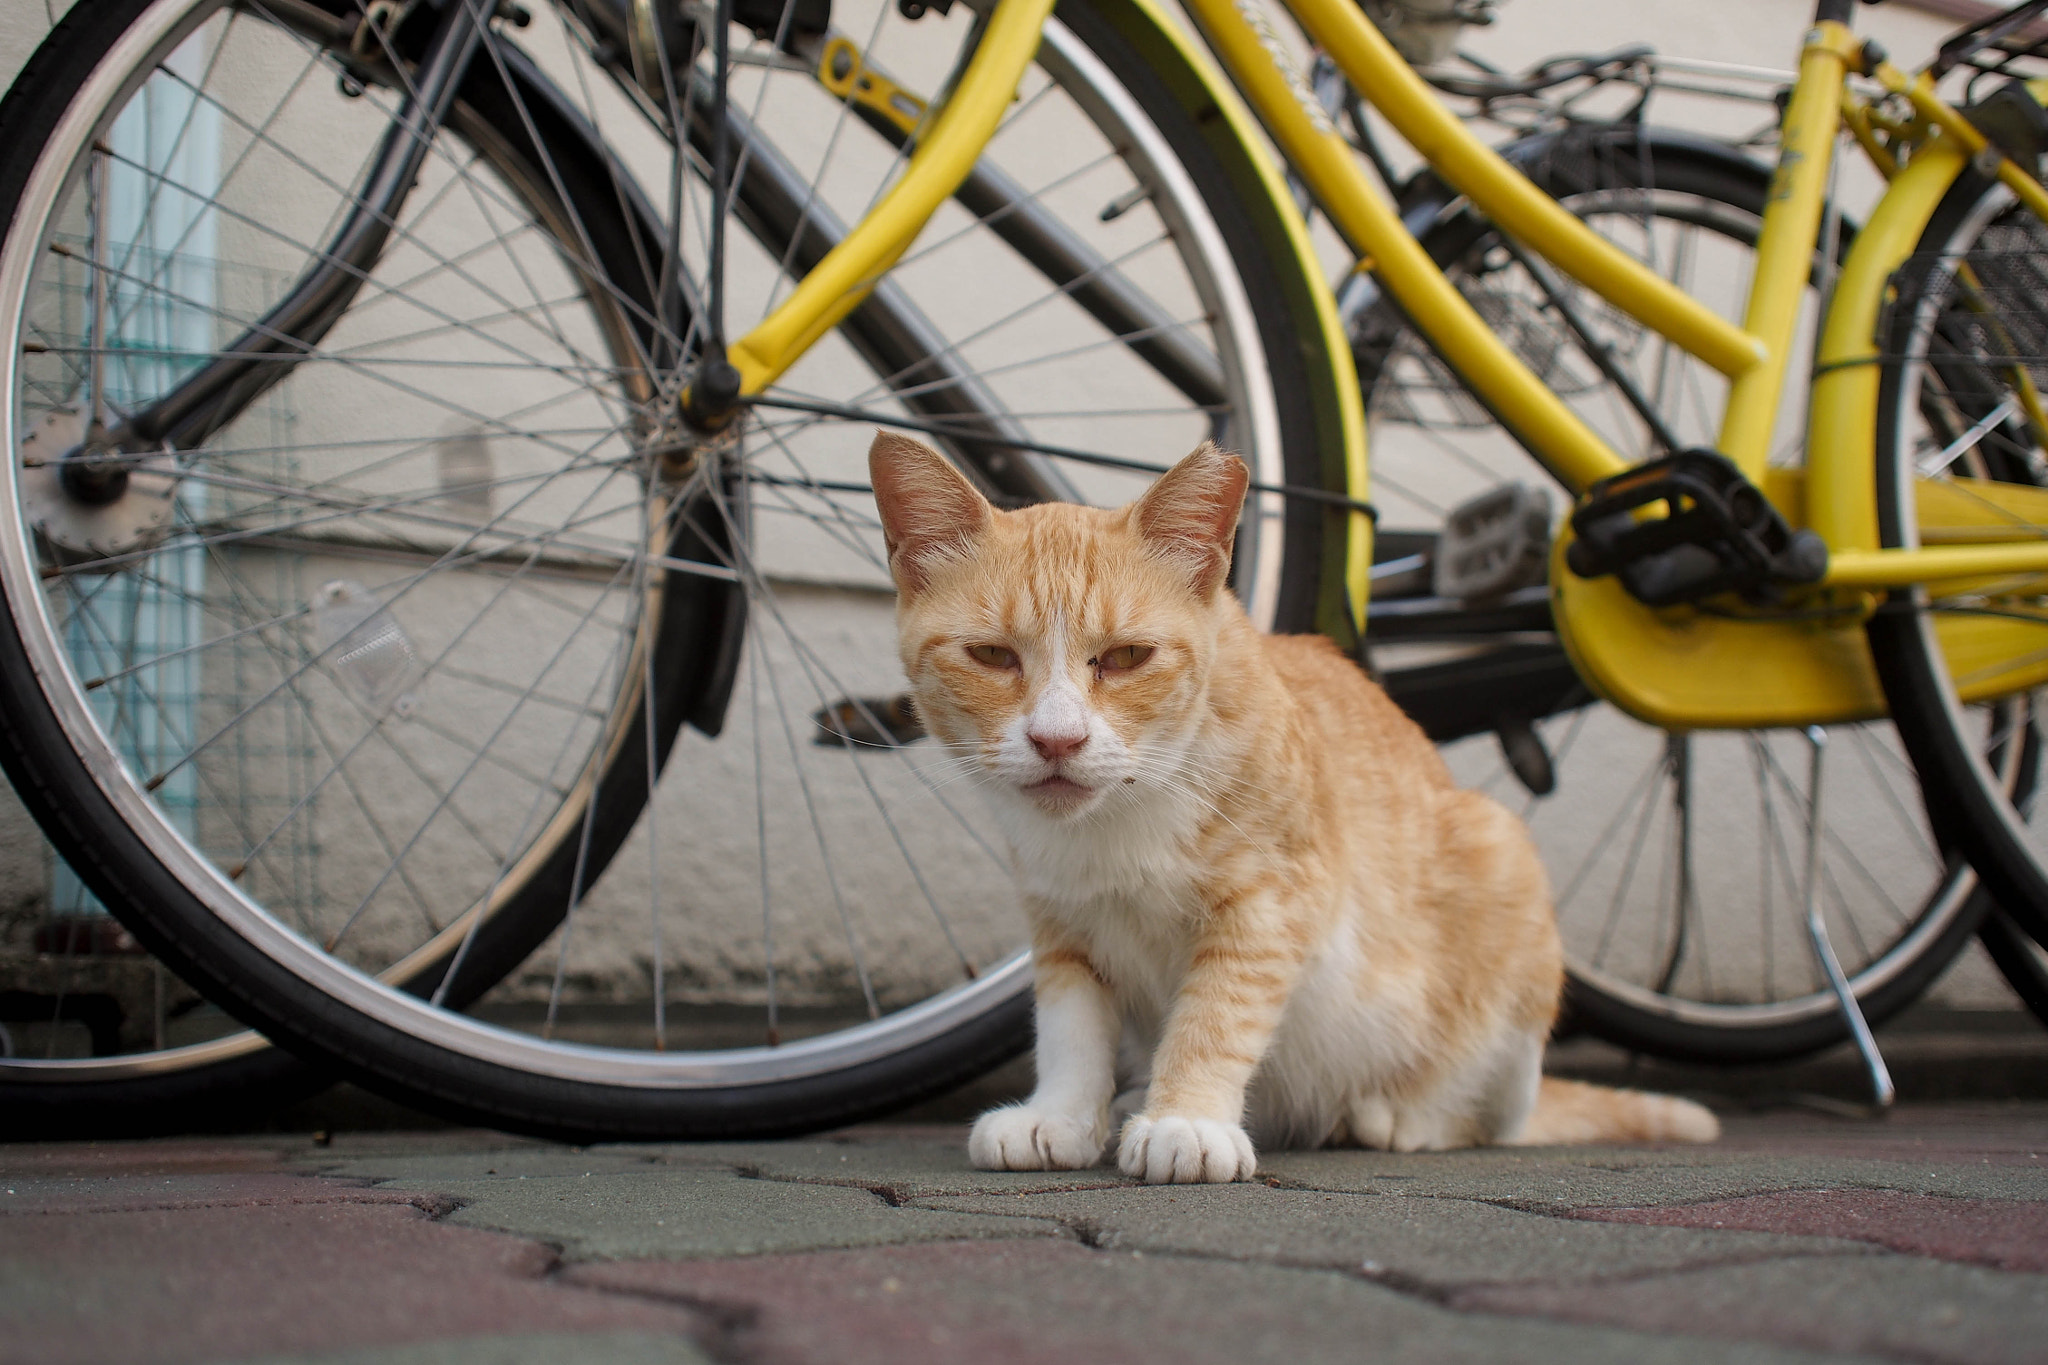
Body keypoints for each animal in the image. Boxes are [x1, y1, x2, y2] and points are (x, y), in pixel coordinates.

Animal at [872, 431, 1720, 1178]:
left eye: (1126, 656)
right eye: (991, 655)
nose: (1057, 739)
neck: (1122, 814)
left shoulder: (1271, 901)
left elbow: (1216, 1012)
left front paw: (1187, 1117)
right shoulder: (1061, 923)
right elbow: (1070, 1026)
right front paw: (1061, 1115)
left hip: (1502, 866)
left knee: (1493, 1116)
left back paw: (1397, 1114)